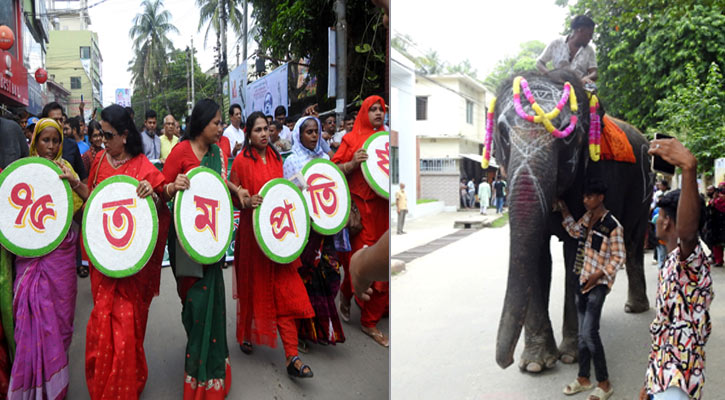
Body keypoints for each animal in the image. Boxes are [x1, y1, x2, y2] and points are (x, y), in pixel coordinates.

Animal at [490, 70, 652, 374]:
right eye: (503, 134)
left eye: (568, 135)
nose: (505, 363)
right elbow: (538, 256)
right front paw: (535, 365)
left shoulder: (597, 174)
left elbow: (576, 250)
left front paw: (570, 356)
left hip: (644, 192)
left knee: (633, 242)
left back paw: (634, 308)